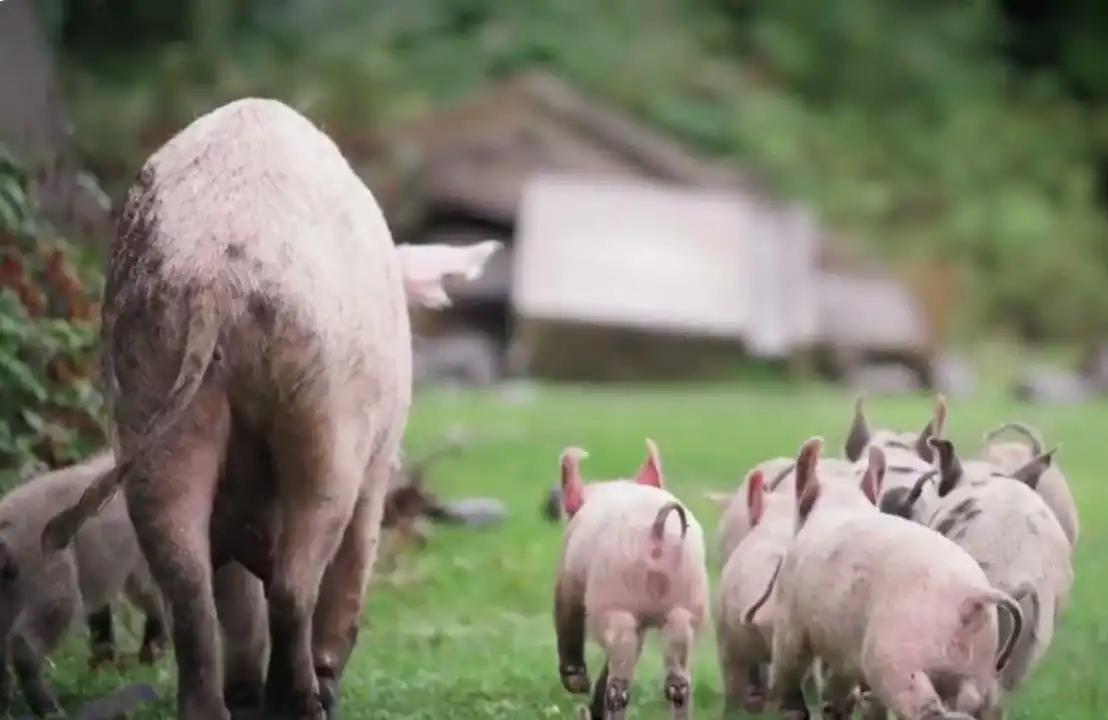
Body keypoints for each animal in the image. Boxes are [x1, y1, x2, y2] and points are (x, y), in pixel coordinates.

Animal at [0, 451, 168, 718]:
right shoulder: (137, 568)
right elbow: (153, 605)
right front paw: (150, 657)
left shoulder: (101, 575)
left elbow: (102, 625)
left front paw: (104, 669)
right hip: (57, 593)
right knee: (25, 647)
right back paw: (49, 708)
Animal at [38, 98, 501, 720]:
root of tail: (217, 274)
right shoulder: (378, 462)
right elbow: (350, 567)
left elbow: (236, 595)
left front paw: (247, 692)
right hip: (324, 410)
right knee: (294, 583)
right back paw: (307, 702)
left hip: (150, 383)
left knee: (190, 587)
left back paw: (223, 704)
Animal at [554, 440, 709, 720]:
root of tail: (657, 531)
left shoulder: (568, 576)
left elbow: (566, 617)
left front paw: (580, 685)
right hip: (688, 599)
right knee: (678, 677)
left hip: (613, 598)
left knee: (620, 675)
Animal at [759, 436, 1023, 720]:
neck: (841, 502)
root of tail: (973, 594)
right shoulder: (843, 652)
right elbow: (838, 686)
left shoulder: (789, 613)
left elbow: (788, 667)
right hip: (981, 666)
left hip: (898, 658)